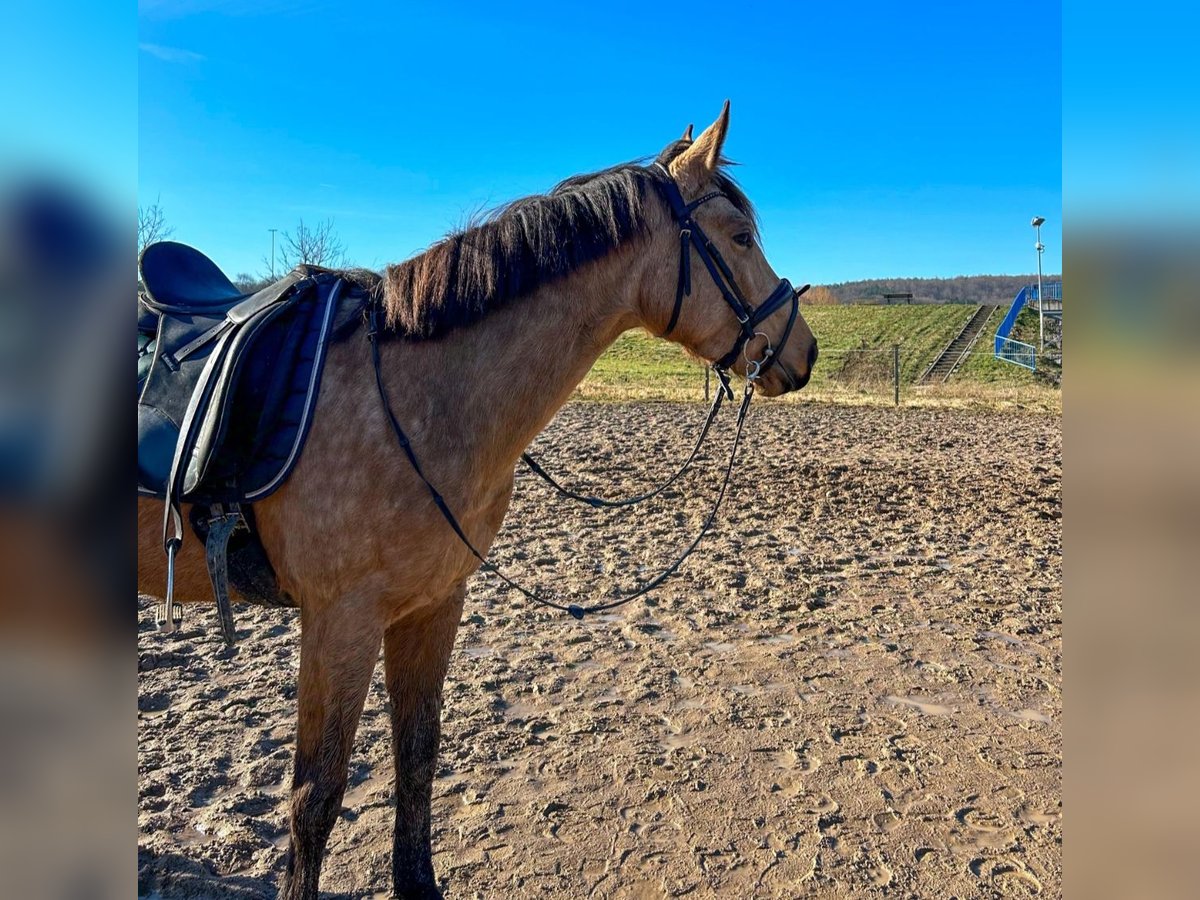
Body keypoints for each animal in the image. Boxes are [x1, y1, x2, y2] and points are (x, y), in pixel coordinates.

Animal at [138, 102, 816, 897]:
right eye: (739, 237)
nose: (803, 351)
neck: (413, 395)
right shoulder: (339, 621)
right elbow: (316, 796)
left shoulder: (433, 603)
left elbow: (418, 755)